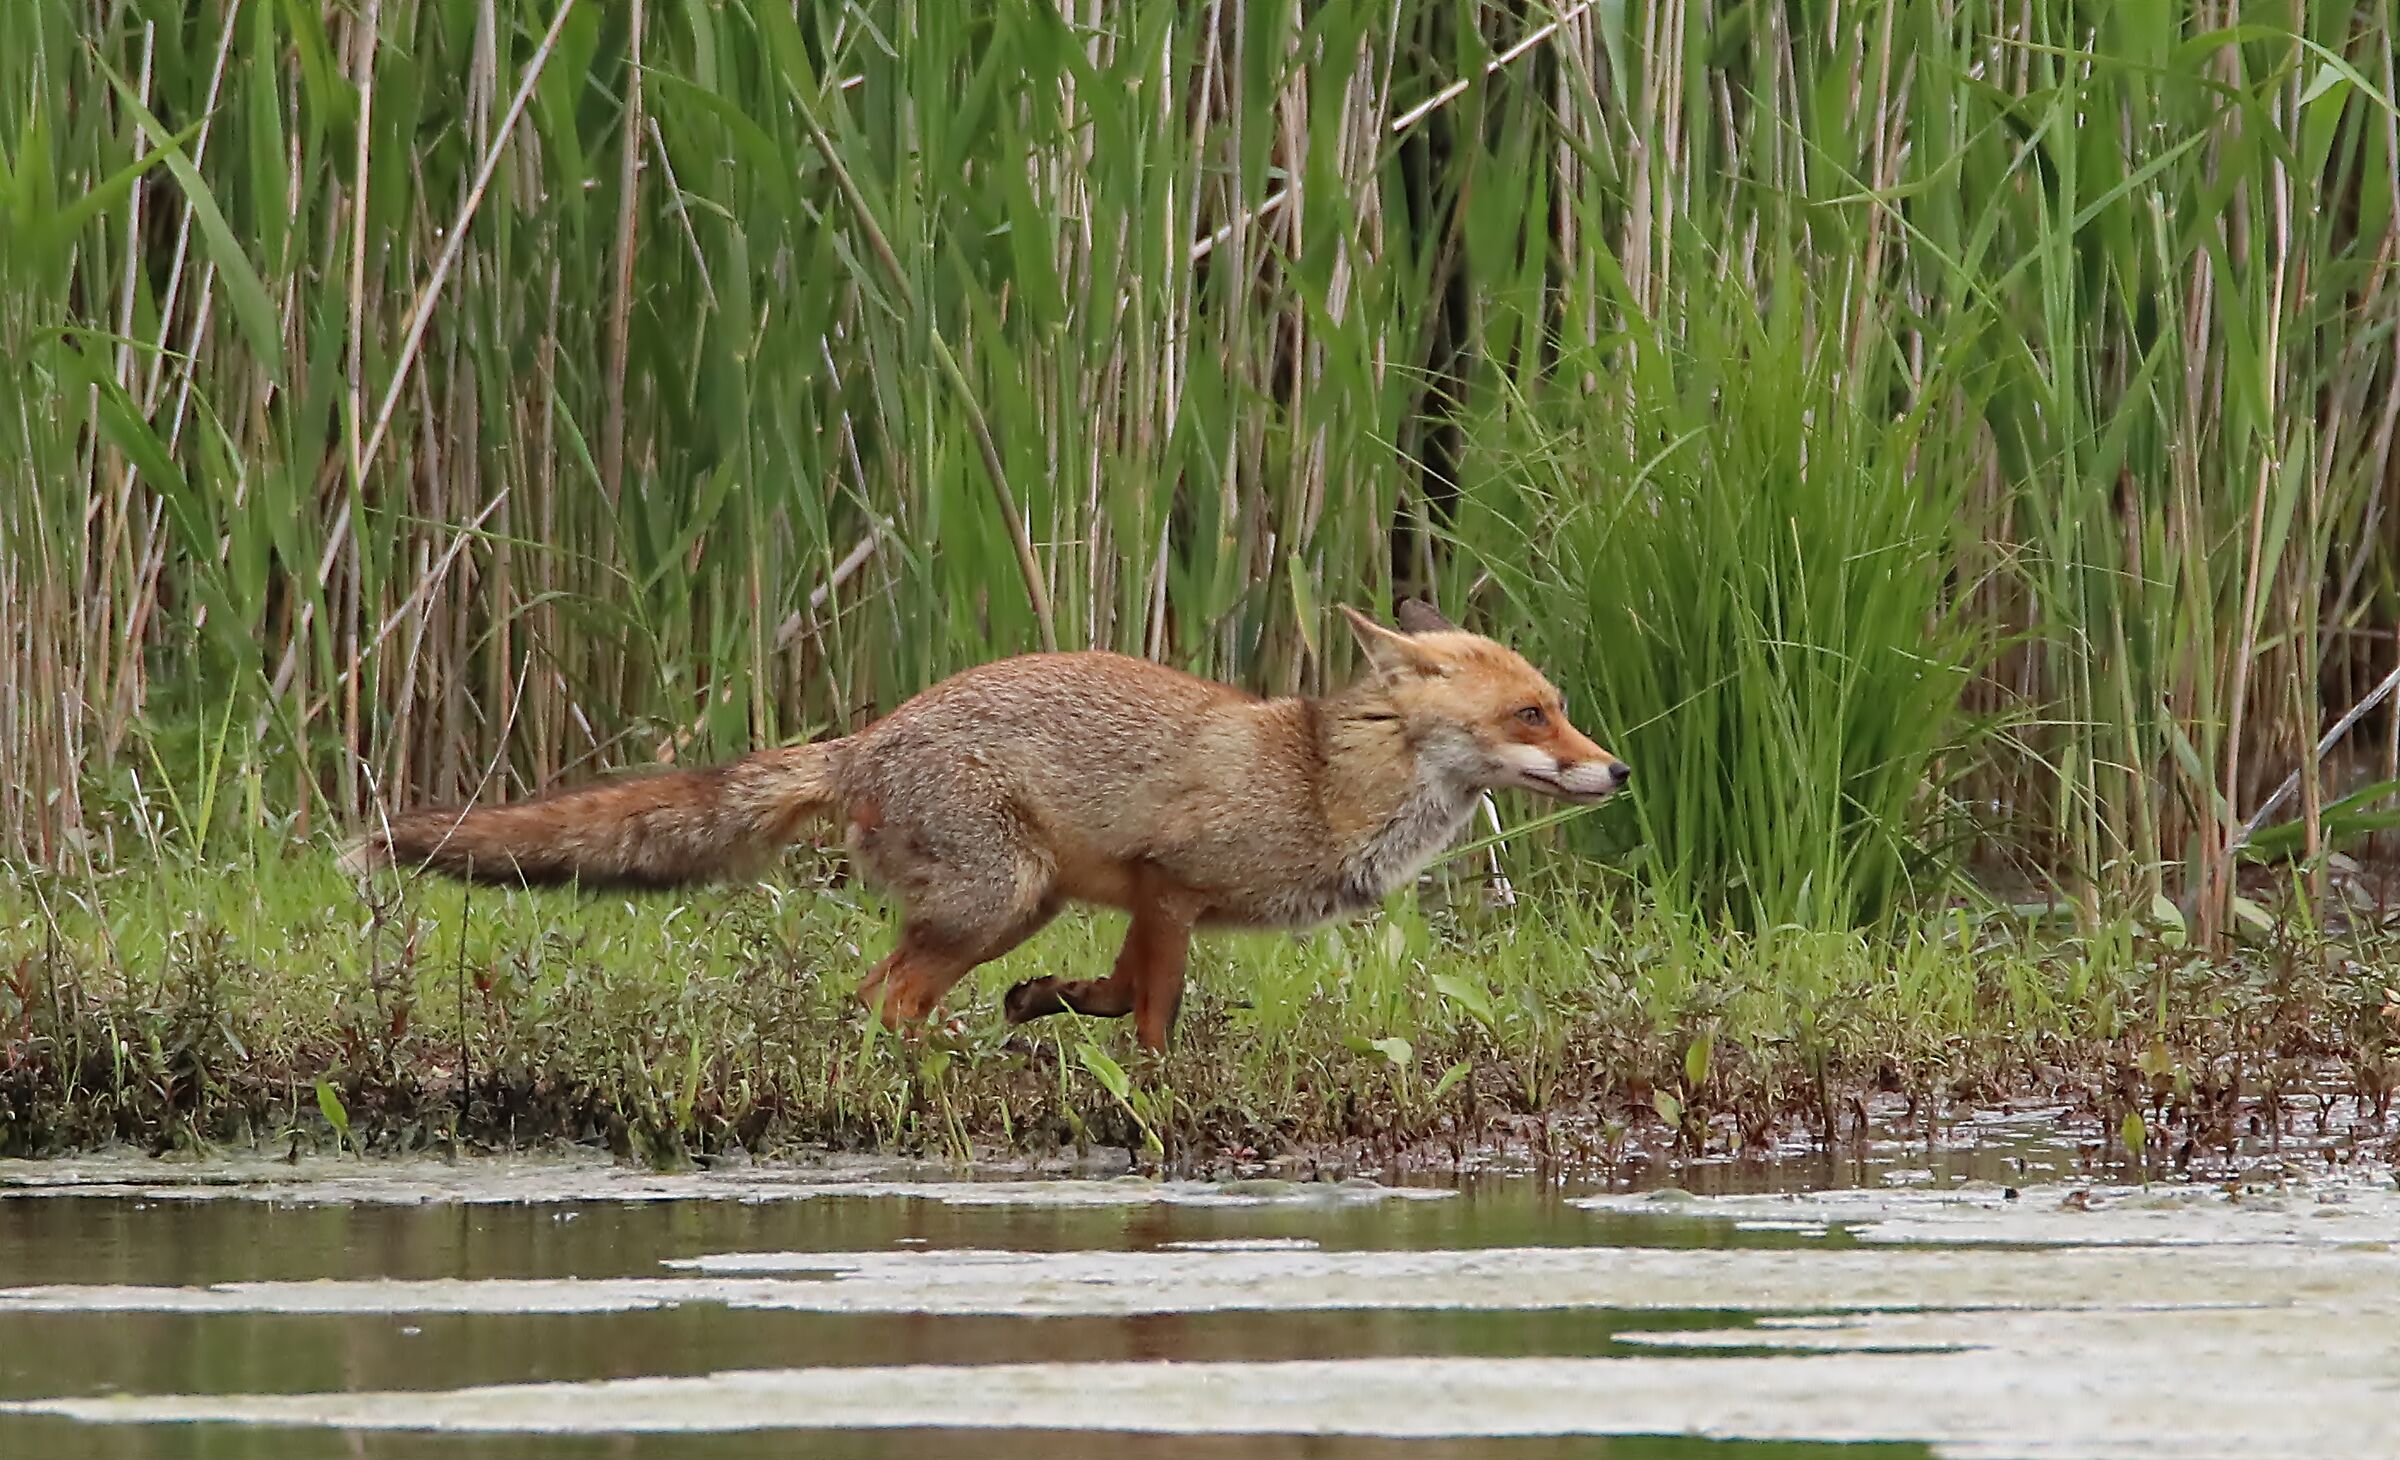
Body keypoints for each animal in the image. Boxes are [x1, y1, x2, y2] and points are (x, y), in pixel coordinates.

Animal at [342, 602, 1629, 1051]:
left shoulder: (1144, 900)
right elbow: (1151, 1017)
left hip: (1024, 899)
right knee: (882, 1001)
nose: (1615, 770)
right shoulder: (1170, 884)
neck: (1321, 779)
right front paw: (1142, 1087)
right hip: (996, 896)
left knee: (873, 996)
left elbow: (1113, 990)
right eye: (1533, 713)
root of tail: (867, 735)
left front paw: (1048, 1005)